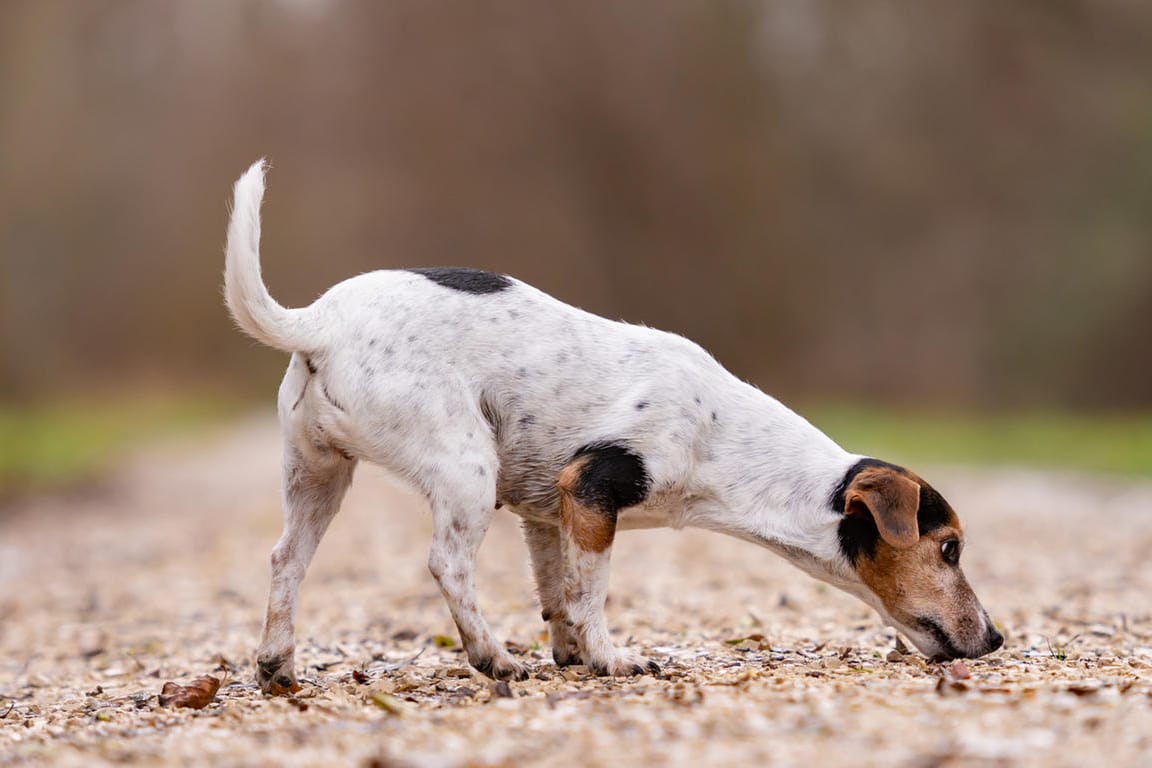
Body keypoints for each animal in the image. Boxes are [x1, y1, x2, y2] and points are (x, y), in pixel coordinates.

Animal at [222, 158, 999, 695]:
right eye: (950, 548)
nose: (995, 638)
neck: (725, 438)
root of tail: (319, 322)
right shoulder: (595, 489)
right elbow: (591, 592)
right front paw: (609, 657)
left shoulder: (545, 512)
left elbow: (557, 593)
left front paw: (571, 654)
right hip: (462, 466)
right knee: (447, 565)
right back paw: (491, 657)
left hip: (317, 476)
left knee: (285, 560)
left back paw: (277, 664)